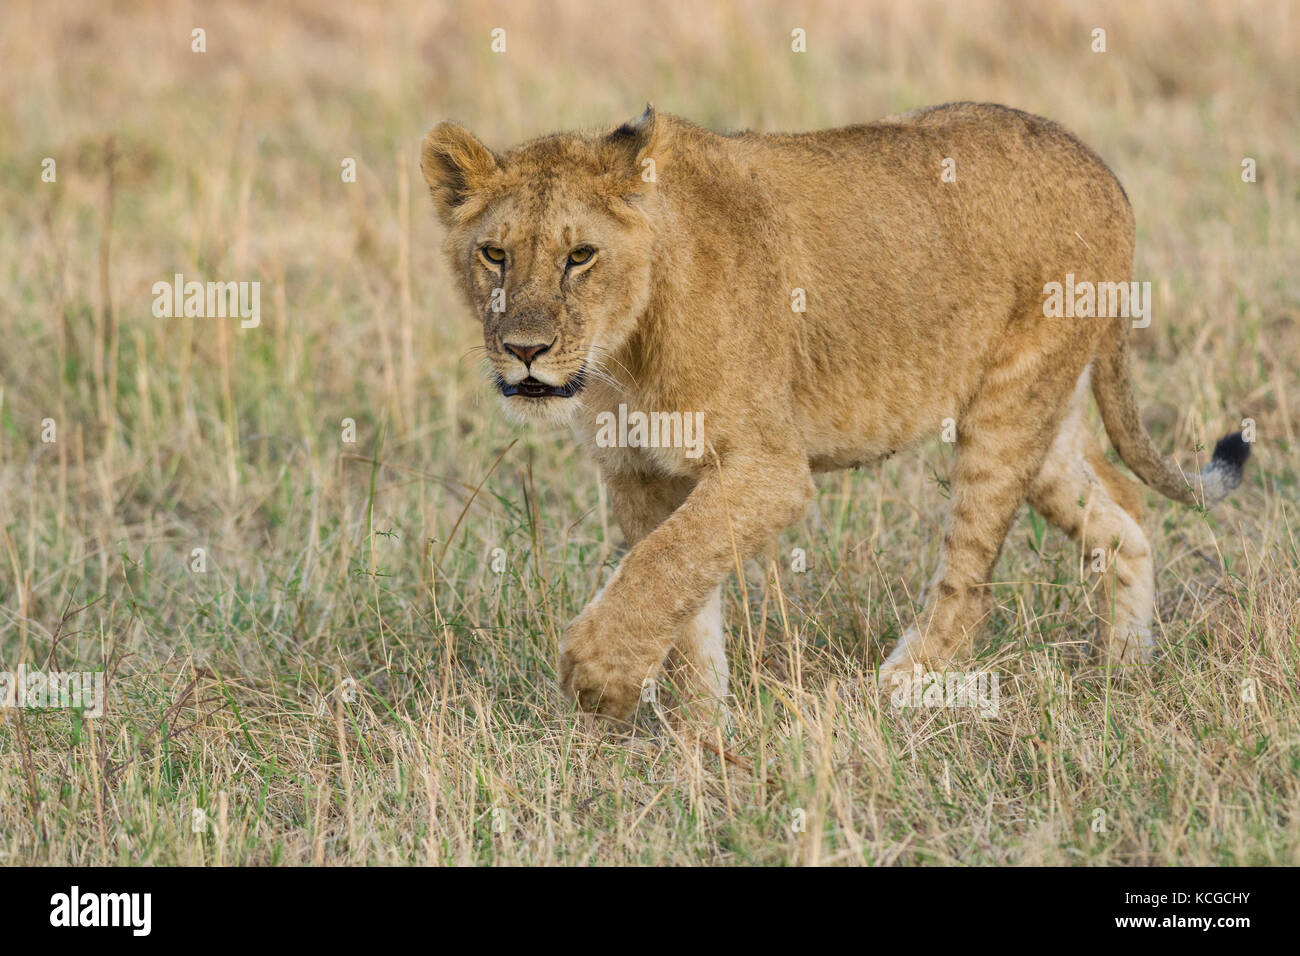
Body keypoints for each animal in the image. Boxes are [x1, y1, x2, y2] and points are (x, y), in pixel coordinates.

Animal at [420, 102, 1250, 721]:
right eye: (494, 254)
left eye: (580, 256)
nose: (526, 350)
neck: (623, 351)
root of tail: (1102, 168)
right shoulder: (638, 471)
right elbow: (682, 595)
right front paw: (702, 730)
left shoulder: (769, 466)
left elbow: (662, 566)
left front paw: (597, 676)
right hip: (1044, 422)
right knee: (1124, 517)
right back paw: (1126, 671)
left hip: (1007, 412)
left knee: (969, 588)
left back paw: (878, 696)